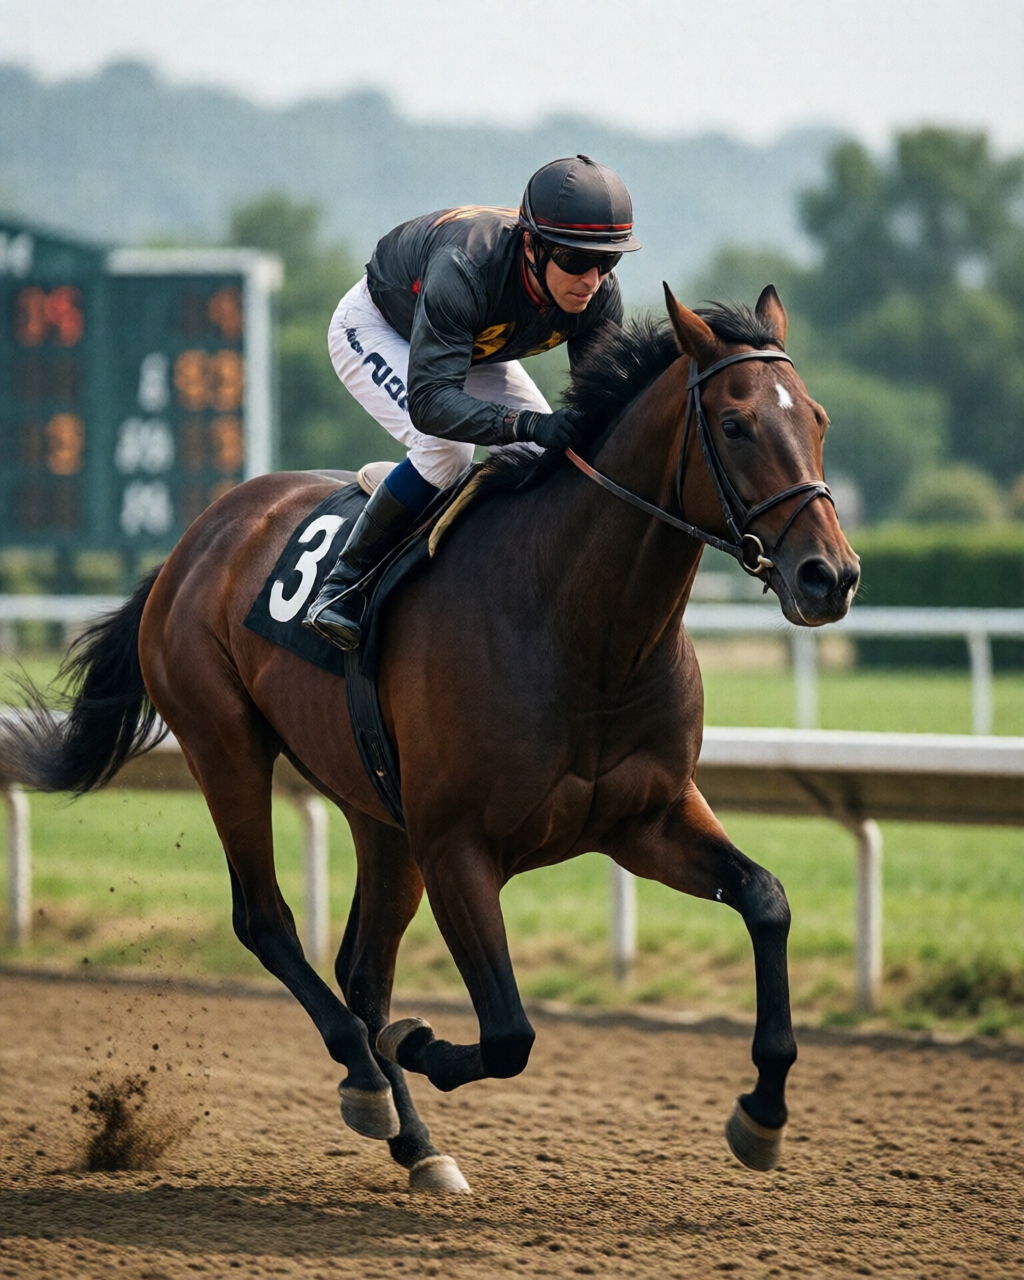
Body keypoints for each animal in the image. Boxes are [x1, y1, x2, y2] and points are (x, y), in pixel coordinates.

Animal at [1, 285, 859, 1193]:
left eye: (817, 417)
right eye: (734, 425)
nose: (829, 577)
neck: (581, 627)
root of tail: (194, 539)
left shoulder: (643, 820)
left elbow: (766, 899)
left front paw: (762, 1112)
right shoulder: (457, 845)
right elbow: (509, 1033)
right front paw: (415, 1045)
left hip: (378, 810)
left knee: (362, 967)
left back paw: (418, 1144)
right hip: (224, 745)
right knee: (268, 923)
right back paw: (368, 1077)